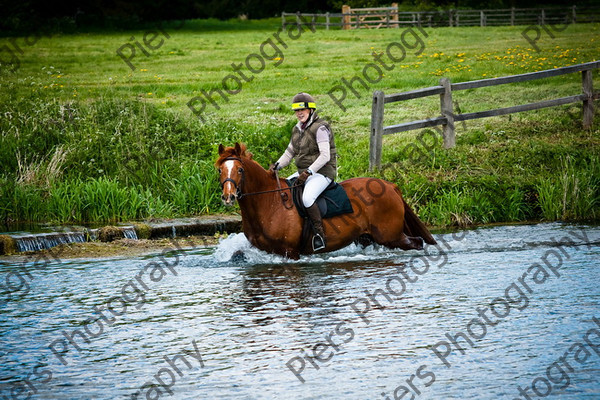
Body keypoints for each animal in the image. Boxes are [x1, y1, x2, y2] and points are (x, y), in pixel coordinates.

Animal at [217, 144, 436, 260]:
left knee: (417, 242)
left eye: (240, 170)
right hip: (369, 237)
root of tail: (390, 186)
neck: (268, 202)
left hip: (390, 236)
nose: (228, 196)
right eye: (220, 170)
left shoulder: (290, 252)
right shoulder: (261, 249)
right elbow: (238, 253)